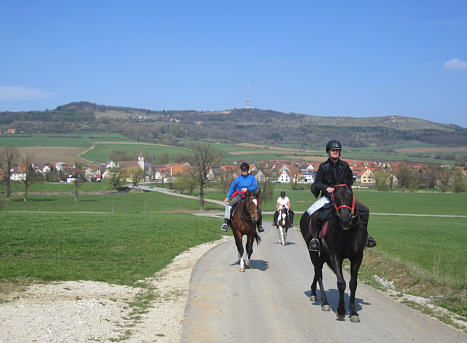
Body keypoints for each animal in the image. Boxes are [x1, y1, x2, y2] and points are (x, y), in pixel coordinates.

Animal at [302, 185, 372, 322]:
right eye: (336, 197)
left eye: (350, 196)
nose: (345, 220)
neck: (348, 233)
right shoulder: (336, 256)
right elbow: (341, 283)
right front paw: (341, 310)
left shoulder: (357, 257)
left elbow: (353, 284)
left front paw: (353, 311)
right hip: (312, 249)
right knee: (318, 271)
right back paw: (324, 302)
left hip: (324, 253)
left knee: (318, 268)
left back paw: (313, 292)